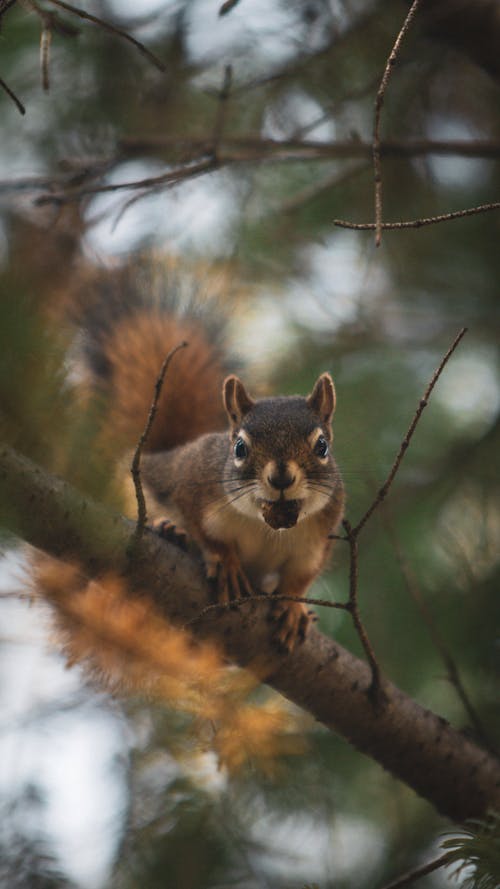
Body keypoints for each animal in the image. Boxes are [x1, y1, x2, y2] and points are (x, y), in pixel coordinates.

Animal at [76, 260, 346, 648]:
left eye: (322, 446)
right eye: (240, 447)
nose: (281, 477)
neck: (263, 522)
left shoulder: (318, 535)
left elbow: (300, 577)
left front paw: (294, 608)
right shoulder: (193, 486)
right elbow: (209, 535)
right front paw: (228, 563)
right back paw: (169, 529)